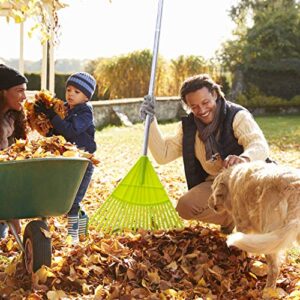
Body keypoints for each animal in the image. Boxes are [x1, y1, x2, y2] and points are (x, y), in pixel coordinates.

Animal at [209, 161, 300, 290]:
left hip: (269, 233)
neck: (232, 180)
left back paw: (268, 290)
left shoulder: (242, 224)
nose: (210, 205)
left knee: (274, 269)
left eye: (213, 189)